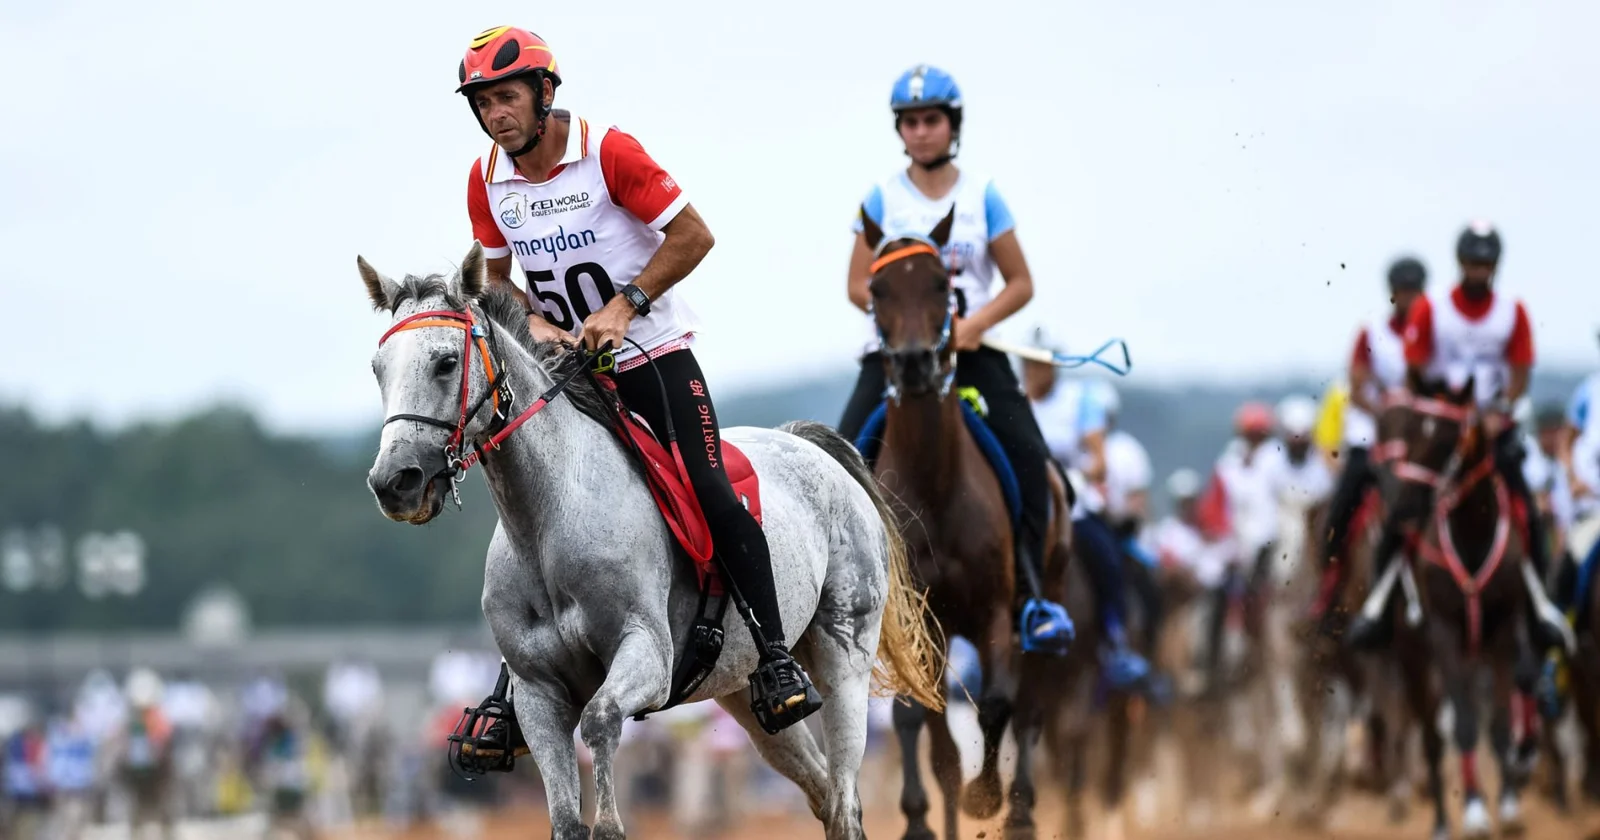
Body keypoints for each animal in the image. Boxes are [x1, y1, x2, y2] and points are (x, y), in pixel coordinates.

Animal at [357, 242, 945, 840]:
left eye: (445, 362)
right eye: (379, 369)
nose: (395, 482)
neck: (549, 523)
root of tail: (812, 447)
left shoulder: (647, 655)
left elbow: (600, 724)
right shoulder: (538, 694)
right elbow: (565, 818)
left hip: (843, 656)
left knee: (845, 800)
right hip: (744, 694)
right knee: (823, 792)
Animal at [1391, 374, 1541, 839]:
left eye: (1443, 438)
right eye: (1408, 431)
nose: (1404, 506)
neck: (1472, 533)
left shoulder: (1503, 631)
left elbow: (1499, 723)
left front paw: (1507, 804)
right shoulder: (1443, 634)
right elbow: (1463, 724)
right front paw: (1474, 810)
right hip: (1416, 660)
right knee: (1431, 737)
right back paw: (1441, 820)